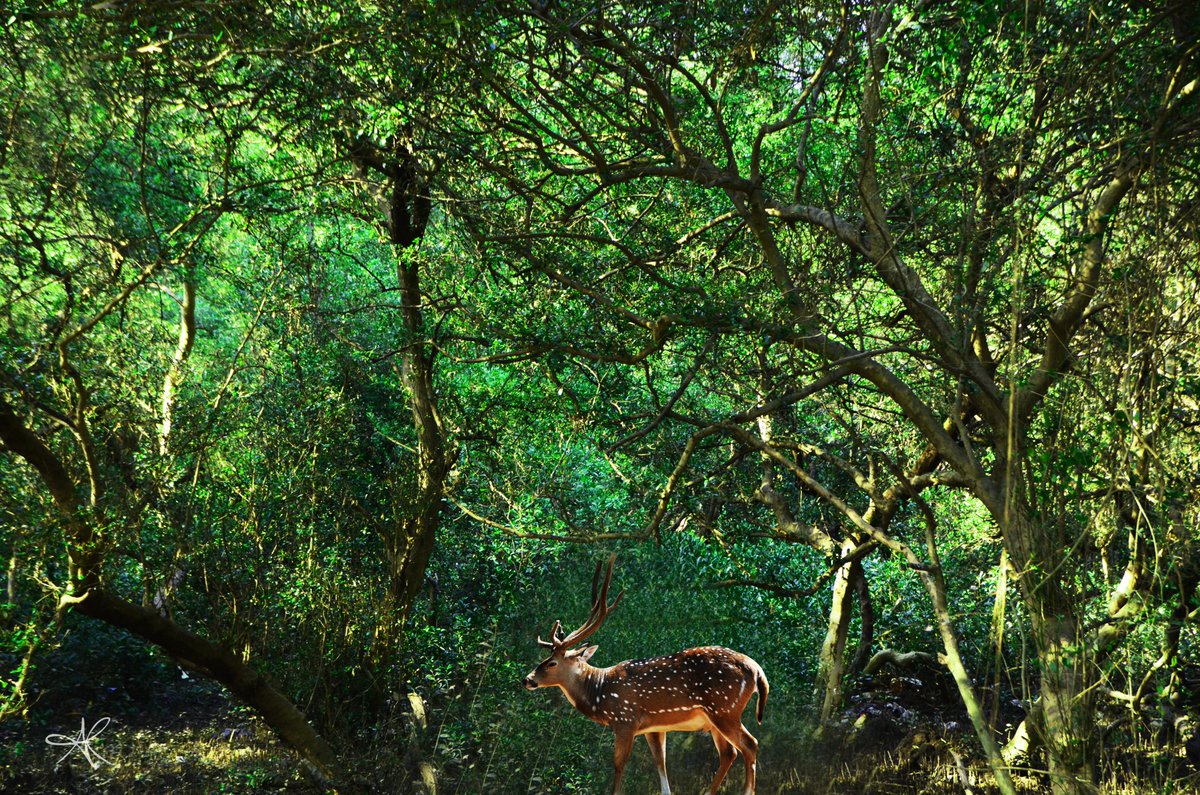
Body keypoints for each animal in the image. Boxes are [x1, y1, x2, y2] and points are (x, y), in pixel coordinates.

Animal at [522, 555, 769, 795]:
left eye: (552, 662)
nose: (527, 679)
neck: (599, 691)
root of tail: (757, 669)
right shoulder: (655, 727)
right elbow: (661, 765)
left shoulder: (624, 720)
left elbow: (619, 765)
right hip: (716, 717)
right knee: (729, 753)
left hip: (725, 708)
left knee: (750, 744)